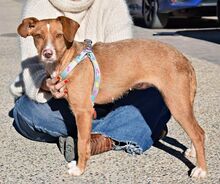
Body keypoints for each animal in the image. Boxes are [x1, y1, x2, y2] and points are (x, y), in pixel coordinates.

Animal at [16, 16, 206, 178]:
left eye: (59, 35)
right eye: (38, 36)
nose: (47, 53)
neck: (68, 60)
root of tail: (184, 58)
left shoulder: (83, 112)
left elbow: (82, 143)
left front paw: (79, 169)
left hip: (176, 103)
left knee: (198, 134)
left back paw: (201, 170)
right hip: (183, 102)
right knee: (198, 131)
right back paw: (193, 153)